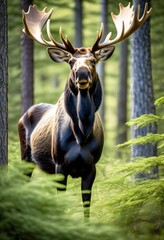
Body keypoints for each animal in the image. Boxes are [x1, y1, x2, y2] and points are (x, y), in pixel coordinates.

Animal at [18, 2, 151, 218]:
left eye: (94, 61)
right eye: (71, 61)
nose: (81, 74)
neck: (81, 132)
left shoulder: (91, 166)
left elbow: (86, 206)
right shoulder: (60, 164)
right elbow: (62, 203)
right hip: (26, 156)